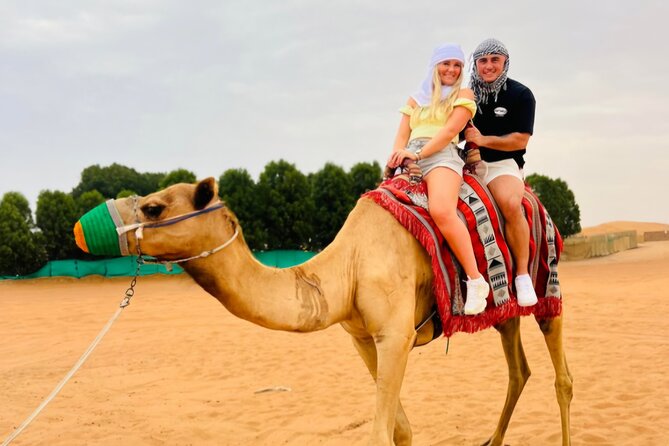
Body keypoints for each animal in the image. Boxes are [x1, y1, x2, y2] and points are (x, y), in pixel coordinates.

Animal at [75, 177, 573, 446]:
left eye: (153, 207)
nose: (80, 230)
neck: (346, 269)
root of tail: (532, 195)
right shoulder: (363, 339)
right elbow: (400, 430)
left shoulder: (396, 335)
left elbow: (379, 433)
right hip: (504, 309)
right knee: (518, 369)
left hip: (545, 281)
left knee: (561, 376)